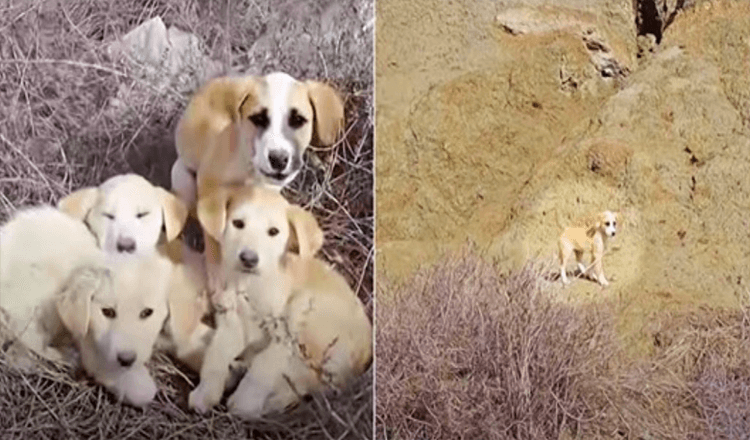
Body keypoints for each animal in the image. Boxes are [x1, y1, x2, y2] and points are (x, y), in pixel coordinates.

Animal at [188, 186, 374, 420]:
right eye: (238, 223)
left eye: (273, 231)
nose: (249, 259)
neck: (252, 284)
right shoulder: (231, 322)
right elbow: (216, 355)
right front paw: (205, 393)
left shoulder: (283, 332)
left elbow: (265, 365)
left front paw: (245, 402)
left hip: (308, 307)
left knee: (305, 379)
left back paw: (265, 403)